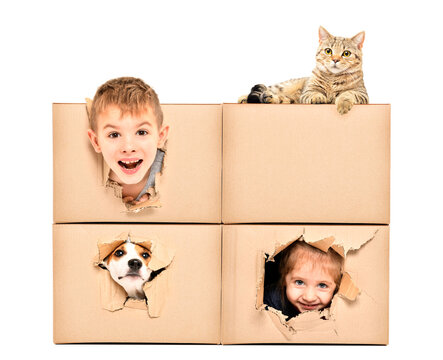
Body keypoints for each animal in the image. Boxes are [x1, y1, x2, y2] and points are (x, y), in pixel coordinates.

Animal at [241, 26, 370, 114]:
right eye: (328, 51)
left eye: (346, 53)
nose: (335, 59)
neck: (332, 78)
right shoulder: (308, 91)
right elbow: (313, 93)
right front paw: (318, 97)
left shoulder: (361, 93)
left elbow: (347, 94)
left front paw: (343, 104)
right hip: (283, 86)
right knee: (270, 89)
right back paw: (244, 98)